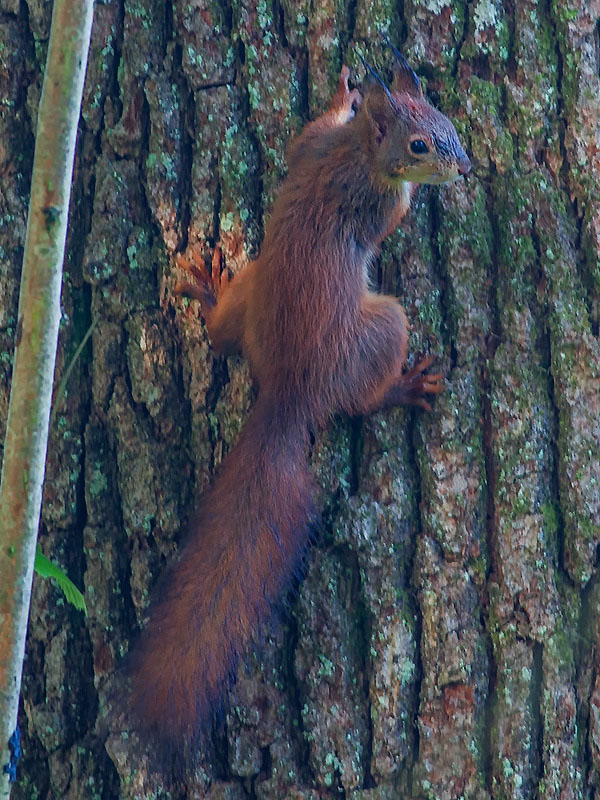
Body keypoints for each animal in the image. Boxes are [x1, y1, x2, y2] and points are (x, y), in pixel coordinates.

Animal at [124, 48, 474, 752]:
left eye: (447, 123)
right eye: (420, 144)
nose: (466, 167)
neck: (358, 152)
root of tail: (288, 388)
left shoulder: (311, 147)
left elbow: (301, 137)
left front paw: (343, 94)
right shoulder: (375, 199)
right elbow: (392, 215)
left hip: (250, 294)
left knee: (222, 335)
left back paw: (208, 292)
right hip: (380, 331)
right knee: (363, 399)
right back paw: (404, 387)